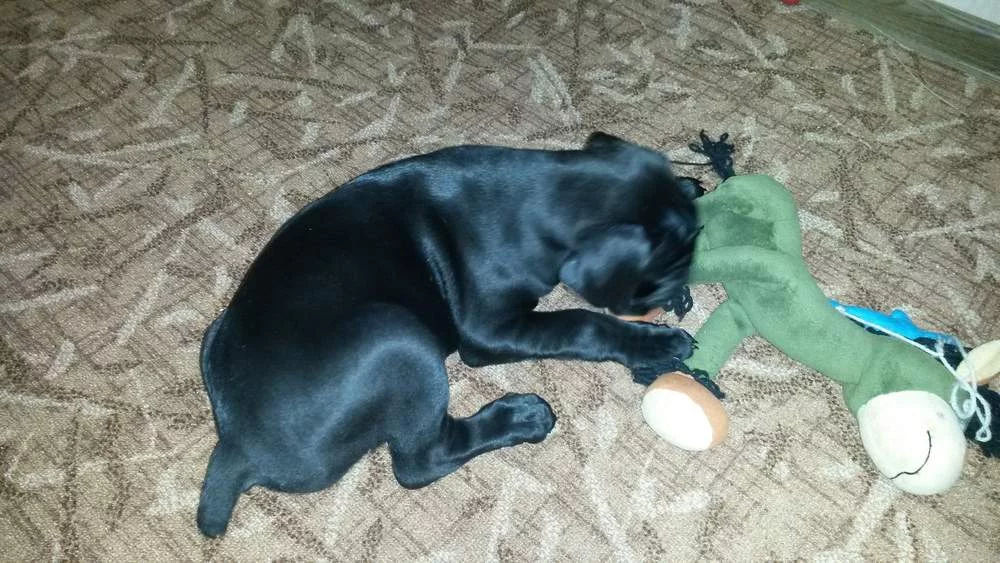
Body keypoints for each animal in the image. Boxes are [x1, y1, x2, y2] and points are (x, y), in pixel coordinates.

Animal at [196, 132, 700, 536]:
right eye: (669, 267)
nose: (677, 291)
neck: (548, 191)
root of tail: (237, 445)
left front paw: (690, 185)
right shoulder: (486, 330)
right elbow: (582, 322)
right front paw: (656, 342)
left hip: (214, 335)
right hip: (400, 341)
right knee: (420, 462)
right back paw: (520, 417)